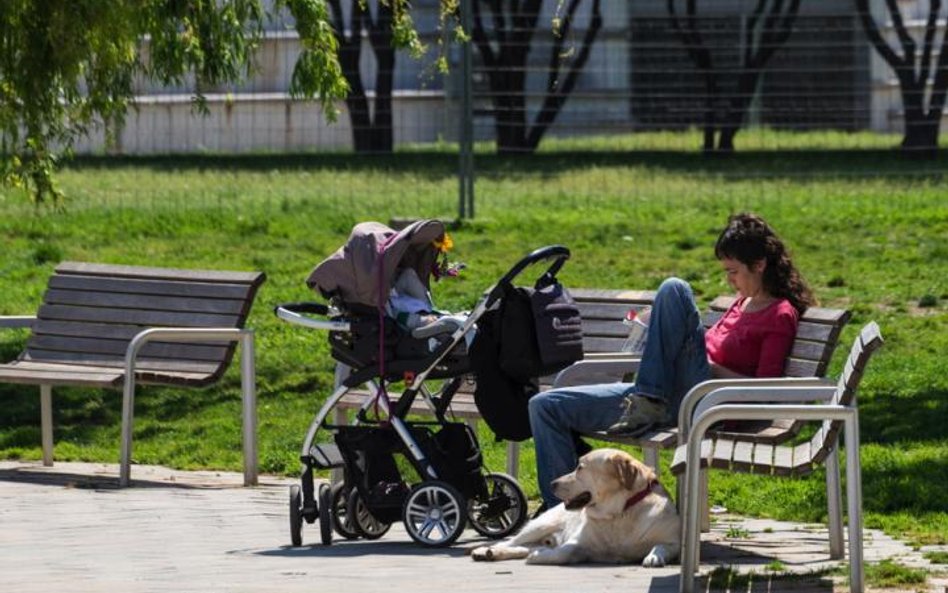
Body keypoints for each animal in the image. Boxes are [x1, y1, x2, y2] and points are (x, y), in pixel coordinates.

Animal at [470, 448, 676, 564]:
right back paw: (487, 550)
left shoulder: (674, 542)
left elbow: (661, 546)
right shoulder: (577, 542)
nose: (552, 483)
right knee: (512, 541)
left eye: (580, 468)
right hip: (542, 524)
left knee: (523, 547)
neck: (617, 513)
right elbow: (564, 552)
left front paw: (654, 557)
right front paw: (540, 556)